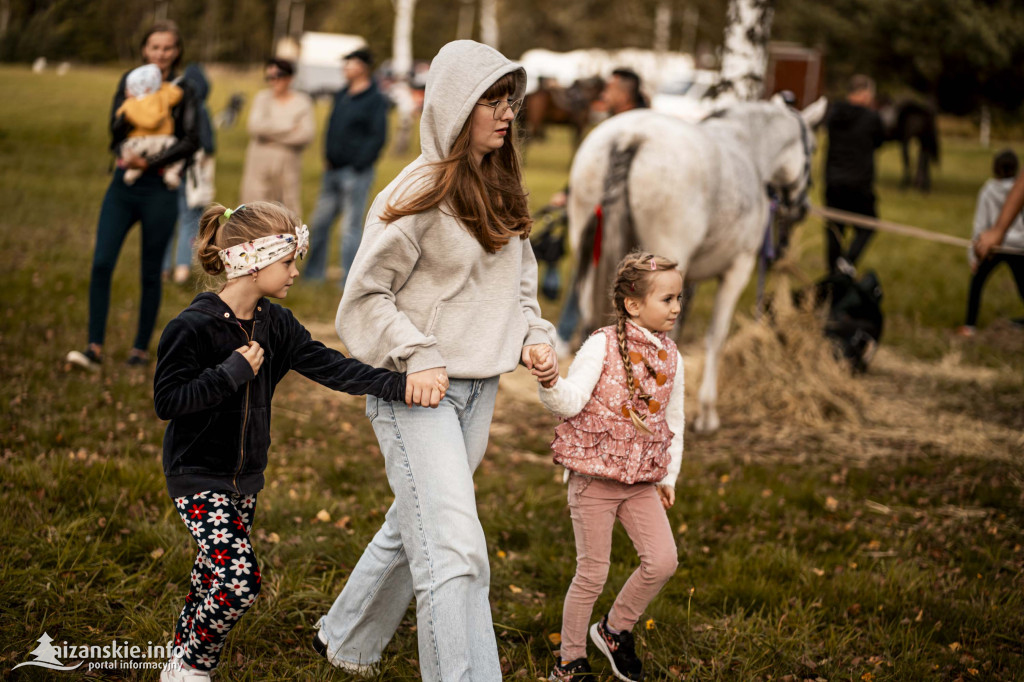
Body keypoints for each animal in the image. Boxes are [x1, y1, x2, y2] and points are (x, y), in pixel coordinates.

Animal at [565, 94, 827, 430]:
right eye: (814, 149)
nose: (801, 208)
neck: (749, 149)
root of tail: (630, 137)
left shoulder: (685, 281)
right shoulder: (737, 268)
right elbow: (716, 336)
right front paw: (706, 411)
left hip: (589, 254)